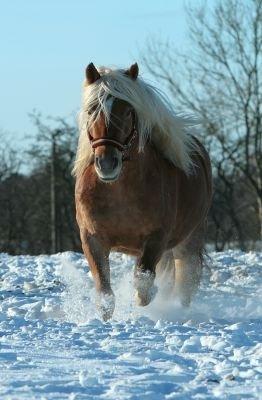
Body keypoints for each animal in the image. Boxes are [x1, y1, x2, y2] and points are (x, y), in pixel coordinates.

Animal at [72, 63, 212, 322]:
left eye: (128, 111)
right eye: (92, 109)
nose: (107, 163)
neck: (119, 192)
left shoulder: (156, 239)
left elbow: (143, 284)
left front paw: (142, 302)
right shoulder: (92, 238)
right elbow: (104, 290)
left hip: (188, 241)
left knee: (185, 283)